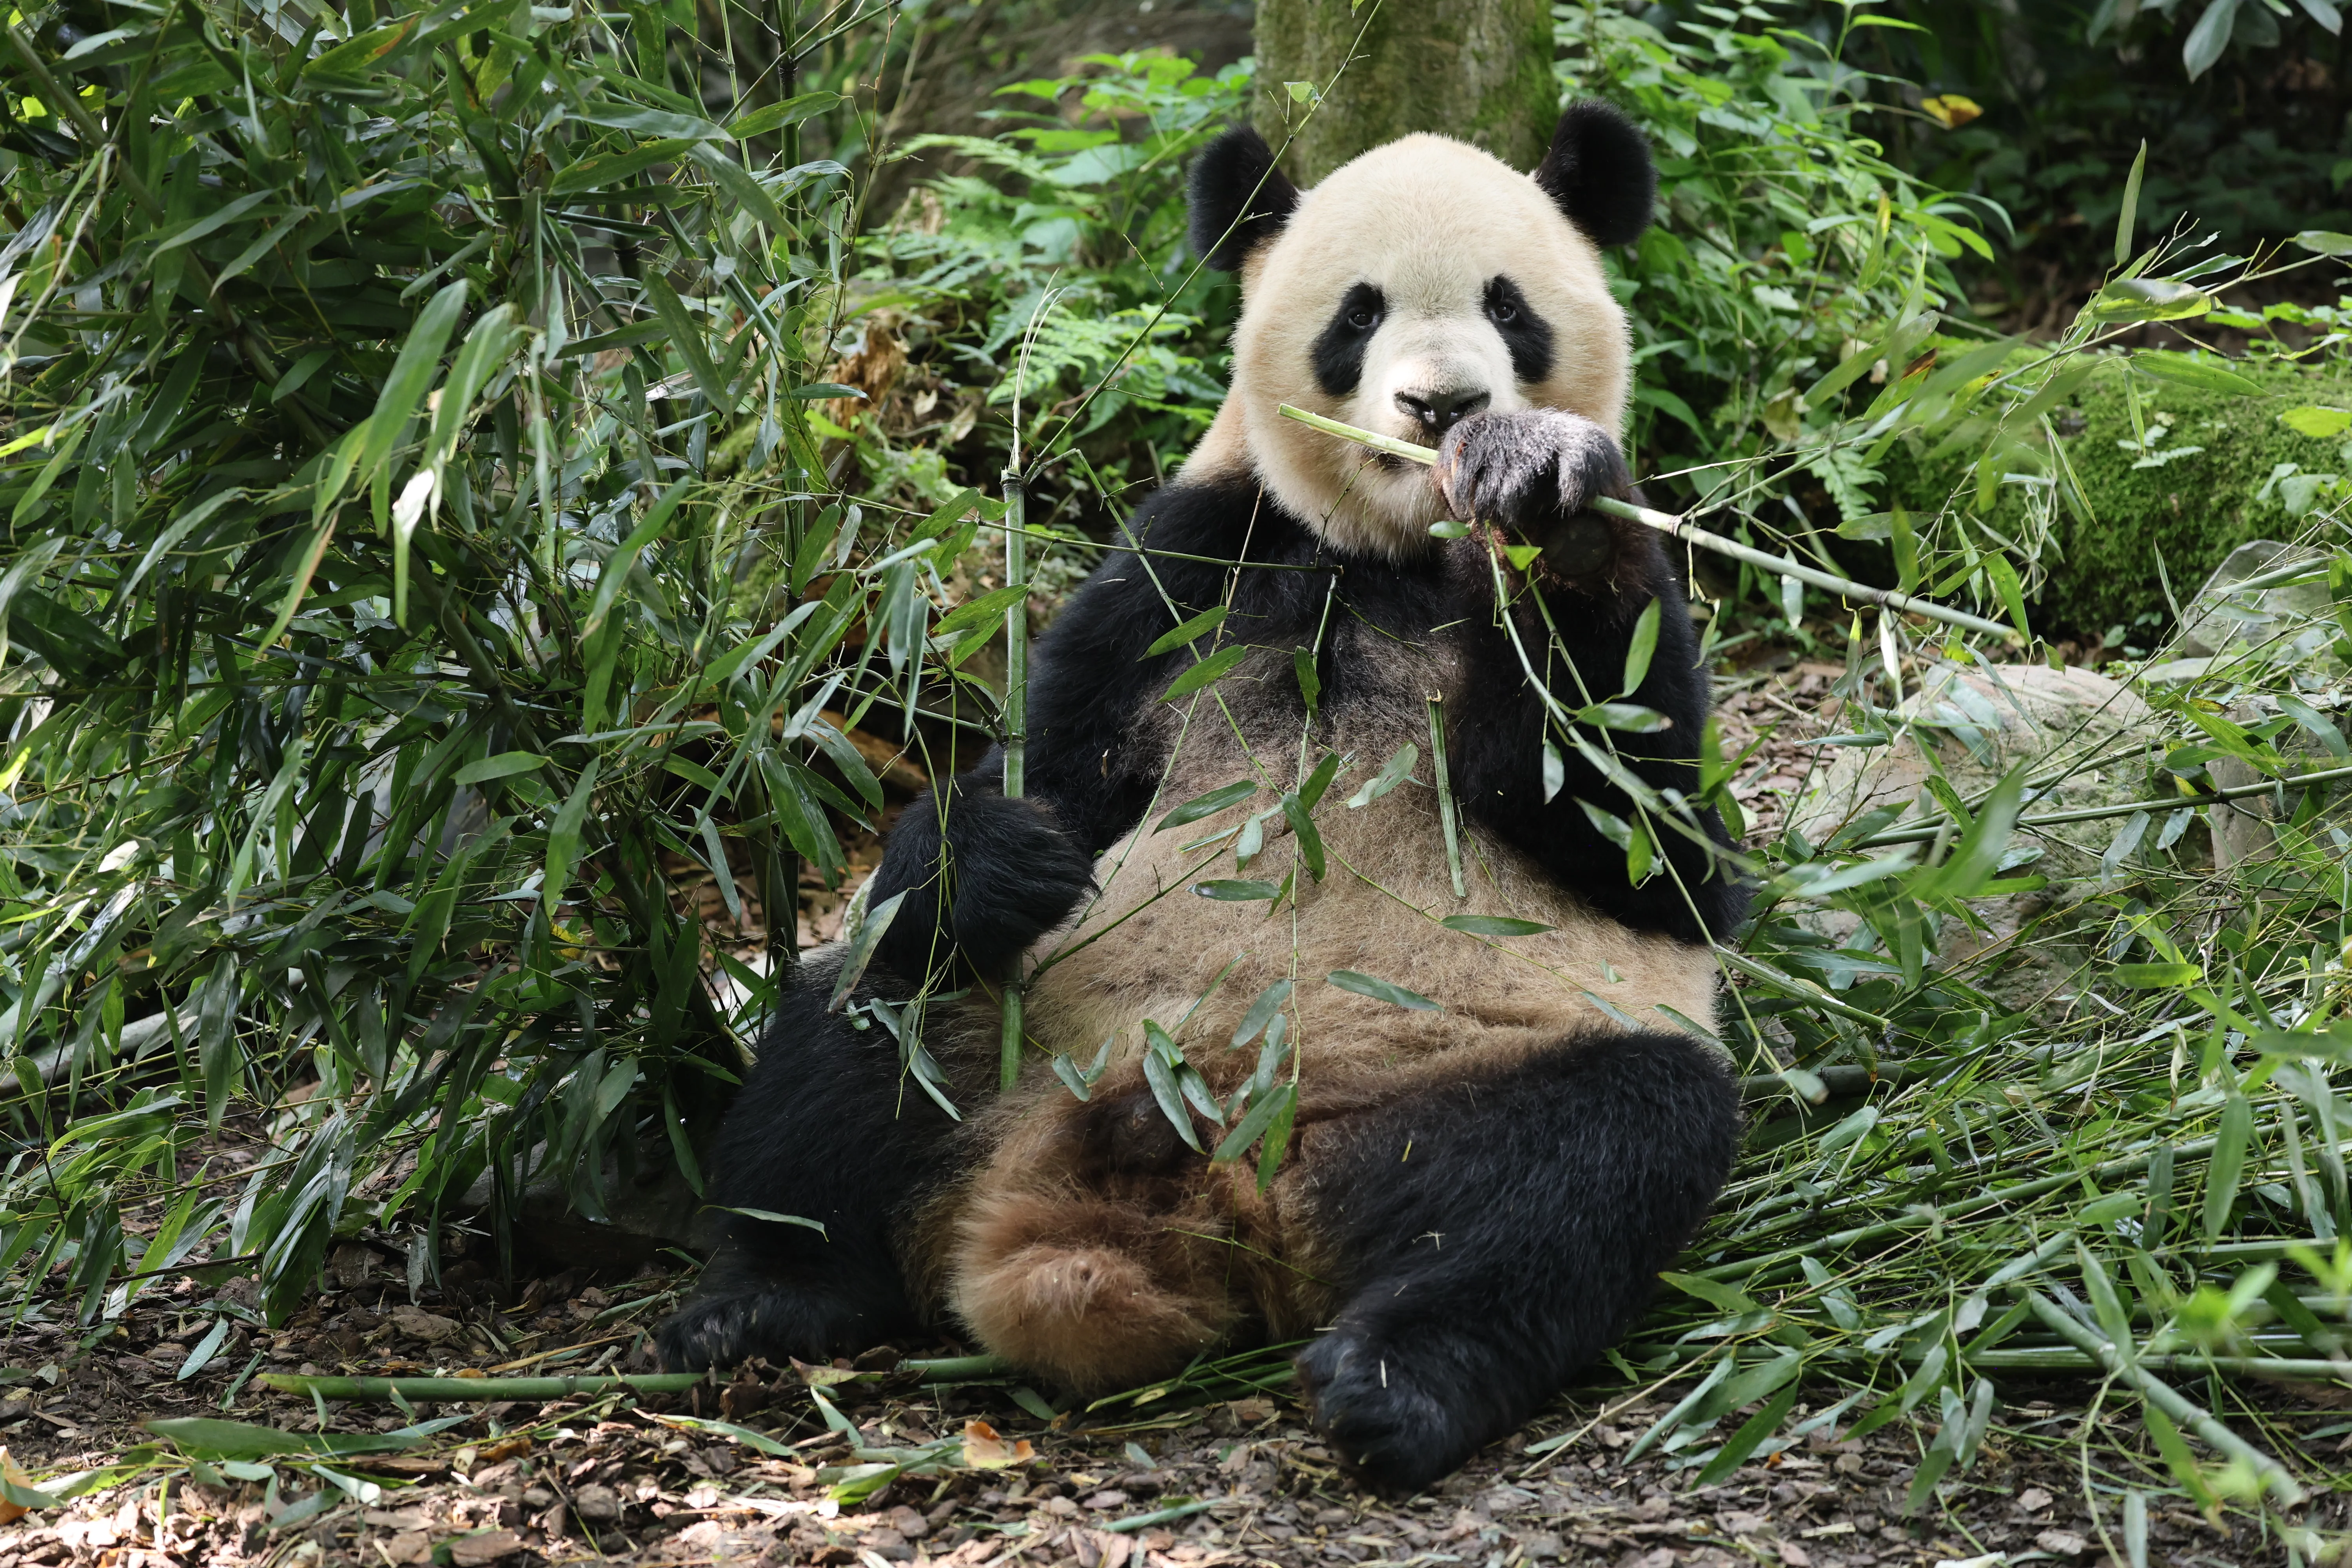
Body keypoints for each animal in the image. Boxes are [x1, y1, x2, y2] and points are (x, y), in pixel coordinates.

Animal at [660, 101, 1748, 1491]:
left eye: (1509, 310)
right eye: (1357, 313)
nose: (1440, 405)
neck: (1392, 552)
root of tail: (1201, 1193)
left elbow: (1665, 859)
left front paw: (1542, 495)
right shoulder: (1187, 564)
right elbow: (1047, 775)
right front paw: (1002, 847)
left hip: (1456, 1078)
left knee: (1594, 1163)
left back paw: (1398, 1380)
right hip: (1011, 1048)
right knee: (861, 1016)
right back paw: (760, 1300)